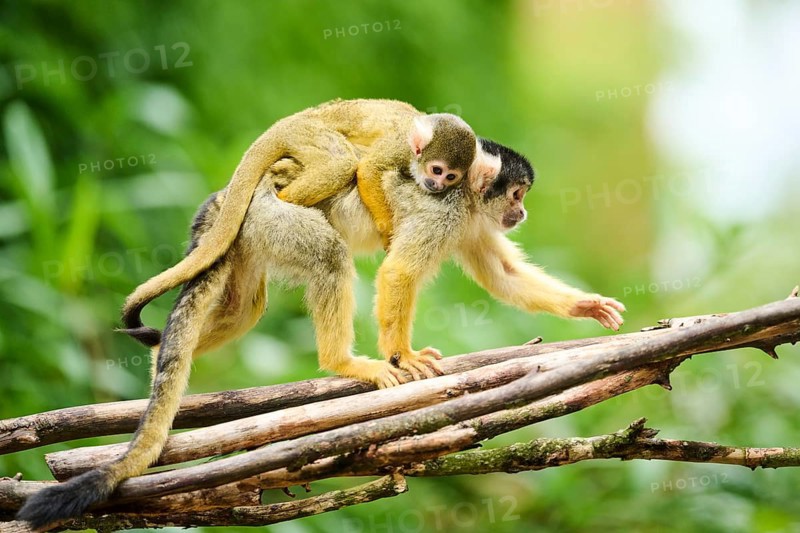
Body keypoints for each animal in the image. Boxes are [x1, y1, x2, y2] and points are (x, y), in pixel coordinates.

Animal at [17, 138, 624, 528]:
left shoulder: (471, 220)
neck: (468, 198)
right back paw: (343, 362)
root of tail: (236, 198)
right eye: (517, 195)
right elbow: (398, 272)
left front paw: (587, 305)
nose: (520, 214)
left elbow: (502, 275)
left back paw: (163, 366)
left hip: (253, 237)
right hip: (277, 218)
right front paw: (401, 356)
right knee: (328, 257)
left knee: (244, 308)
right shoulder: (447, 212)